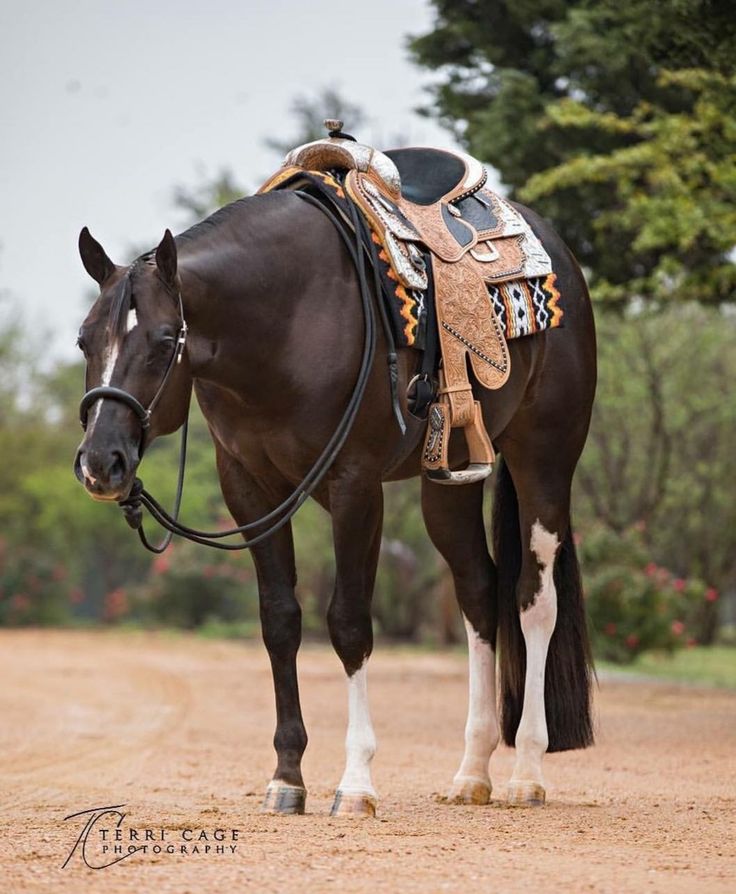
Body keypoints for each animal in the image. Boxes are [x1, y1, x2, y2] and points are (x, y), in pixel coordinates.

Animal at [75, 189, 596, 820]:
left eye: (159, 343)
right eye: (84, 340)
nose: (100, 462)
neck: (285, 321)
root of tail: (560, 252)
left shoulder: (355, 486)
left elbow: (349, 625)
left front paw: (356, 784)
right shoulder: (249, 488)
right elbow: (279, 621)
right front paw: (286, 778)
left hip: (544, 457)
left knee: (533, 600)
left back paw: (527, 771)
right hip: (449, 481)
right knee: (479, 591)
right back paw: (472, 773)